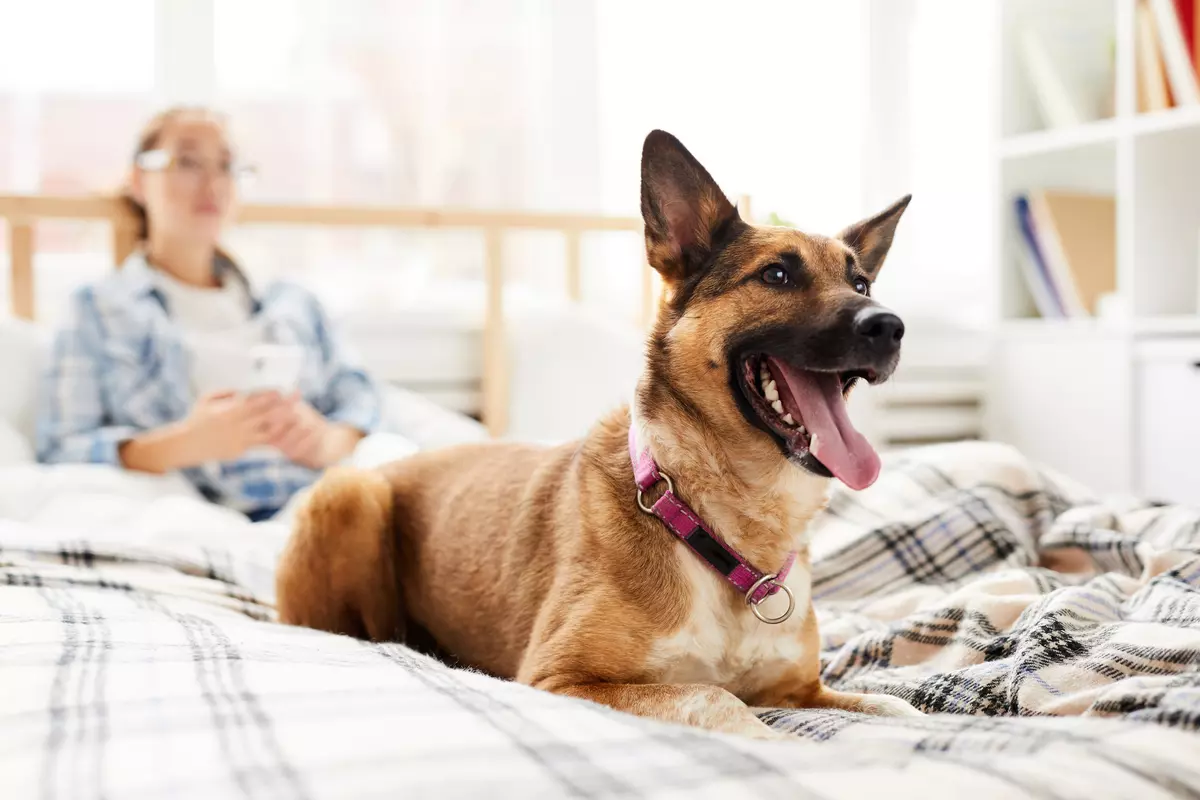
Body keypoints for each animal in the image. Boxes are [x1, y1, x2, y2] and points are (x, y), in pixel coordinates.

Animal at [278, 130, 916, 738]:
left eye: (862, 284)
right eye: (777, 275)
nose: (891, 326)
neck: (721, 529)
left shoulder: (800, 689)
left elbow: (894, 705)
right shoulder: (560, 679)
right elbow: (716, 697)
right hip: (351, 494)